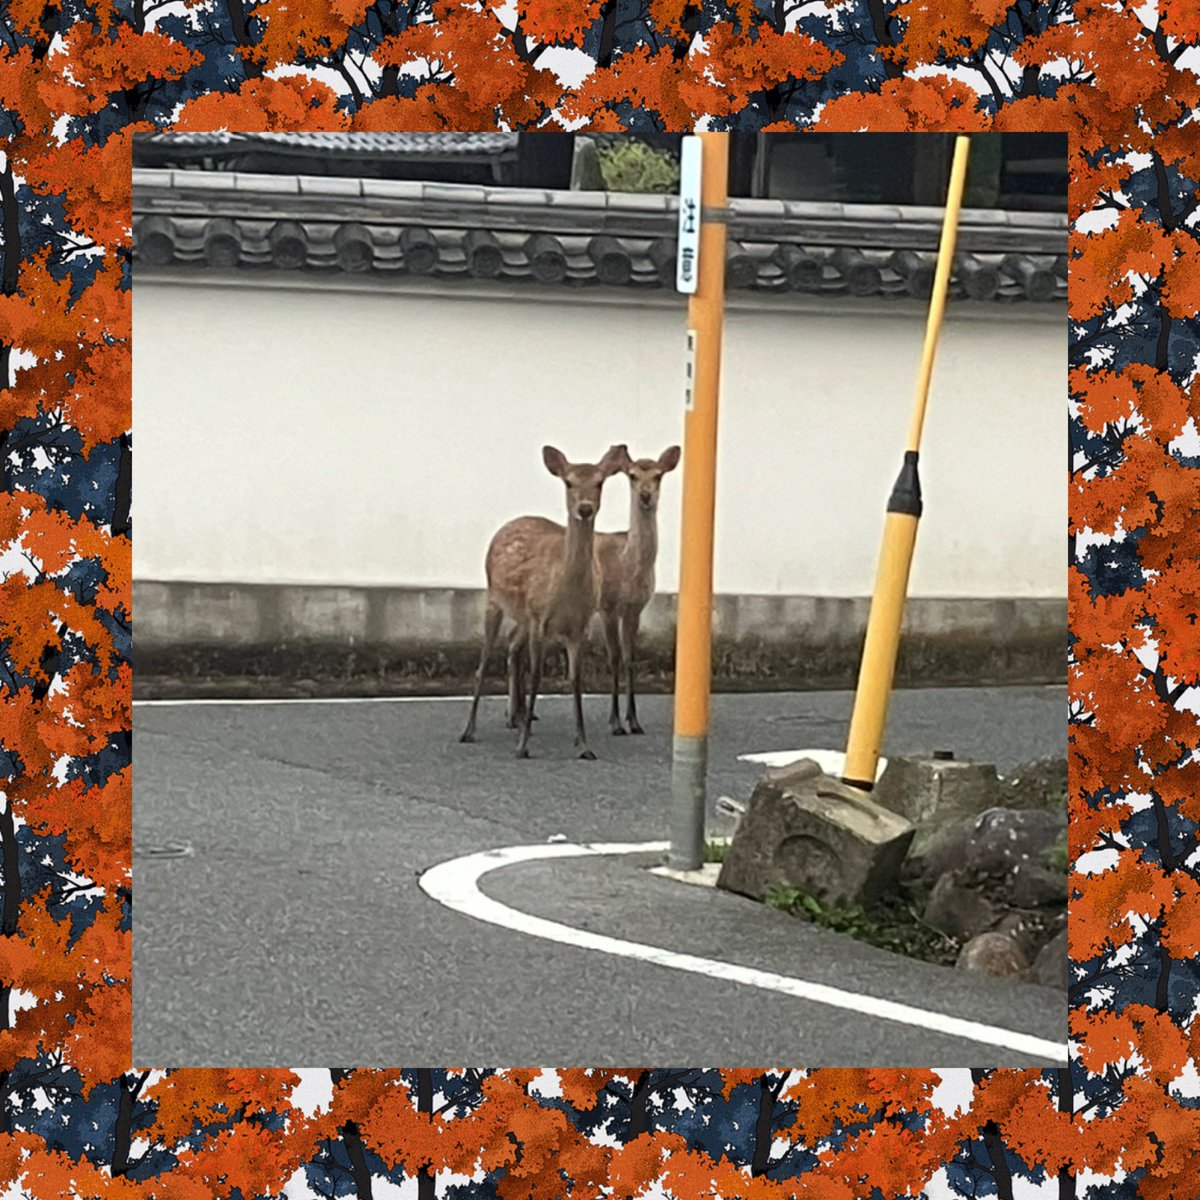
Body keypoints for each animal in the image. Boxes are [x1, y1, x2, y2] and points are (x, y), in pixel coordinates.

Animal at [459, 444, 627, 759]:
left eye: (599, 482)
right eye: (569, 482)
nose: (584, 508)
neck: (568, 591)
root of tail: (507, 524)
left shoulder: (579, 626)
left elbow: (575, 680)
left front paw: (584, 745)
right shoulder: (539, 618)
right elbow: (537, 675)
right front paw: (522, 747)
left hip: (523, 616)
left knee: (512, 645)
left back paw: (519, 718)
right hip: (494, 600)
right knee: (483, 662)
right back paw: (469, 730)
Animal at [595, 445, 681, 735]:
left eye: (658, 475)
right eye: (632, 475)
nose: (645, 495)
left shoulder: (636, 608)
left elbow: (630, 657)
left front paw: (634, 721)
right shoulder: (608, 606)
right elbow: (613, 657)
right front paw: (614, 722)